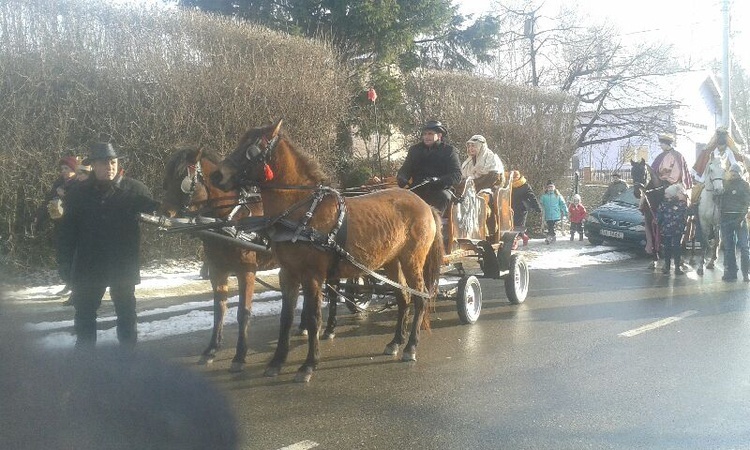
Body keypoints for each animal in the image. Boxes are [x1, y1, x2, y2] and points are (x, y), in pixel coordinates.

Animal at [161, 147, 276, 372]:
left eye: (182, 178)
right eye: (167, 178)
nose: (162, 212)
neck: (231, 218)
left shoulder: (246, 270)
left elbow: (243, 312)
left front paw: (240, 355)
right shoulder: (217, 270)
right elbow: (219, 309)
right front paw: (211, 349)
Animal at [212, 120, 446, 384]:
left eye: (252, 148)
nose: (217, 175)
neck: (302, 210)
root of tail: (424, 203)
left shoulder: (313, 275)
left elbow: (314, 318)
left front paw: (308, 365)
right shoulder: (288, 274)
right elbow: (286, 317)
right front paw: (277, 361)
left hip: (412, 260)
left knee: (419, 298)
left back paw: (411, 346)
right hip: (392, 262)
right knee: (403, 298)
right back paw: (396, 341)